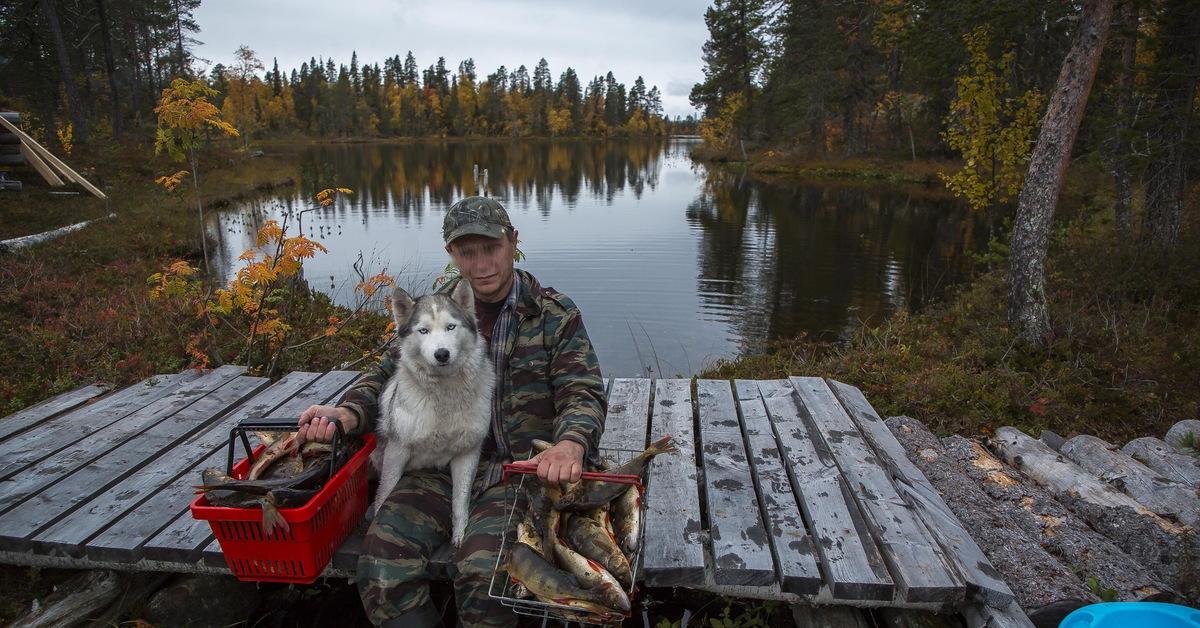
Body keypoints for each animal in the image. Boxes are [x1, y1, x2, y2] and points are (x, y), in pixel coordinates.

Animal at [369, 279, 492, 545]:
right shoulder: (397, 451)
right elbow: (385, 492)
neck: (446, 397)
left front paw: (459, 534)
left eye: (450, 327)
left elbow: (460, 501)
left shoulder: (468, 453)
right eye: (423, 331)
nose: (442, 354)